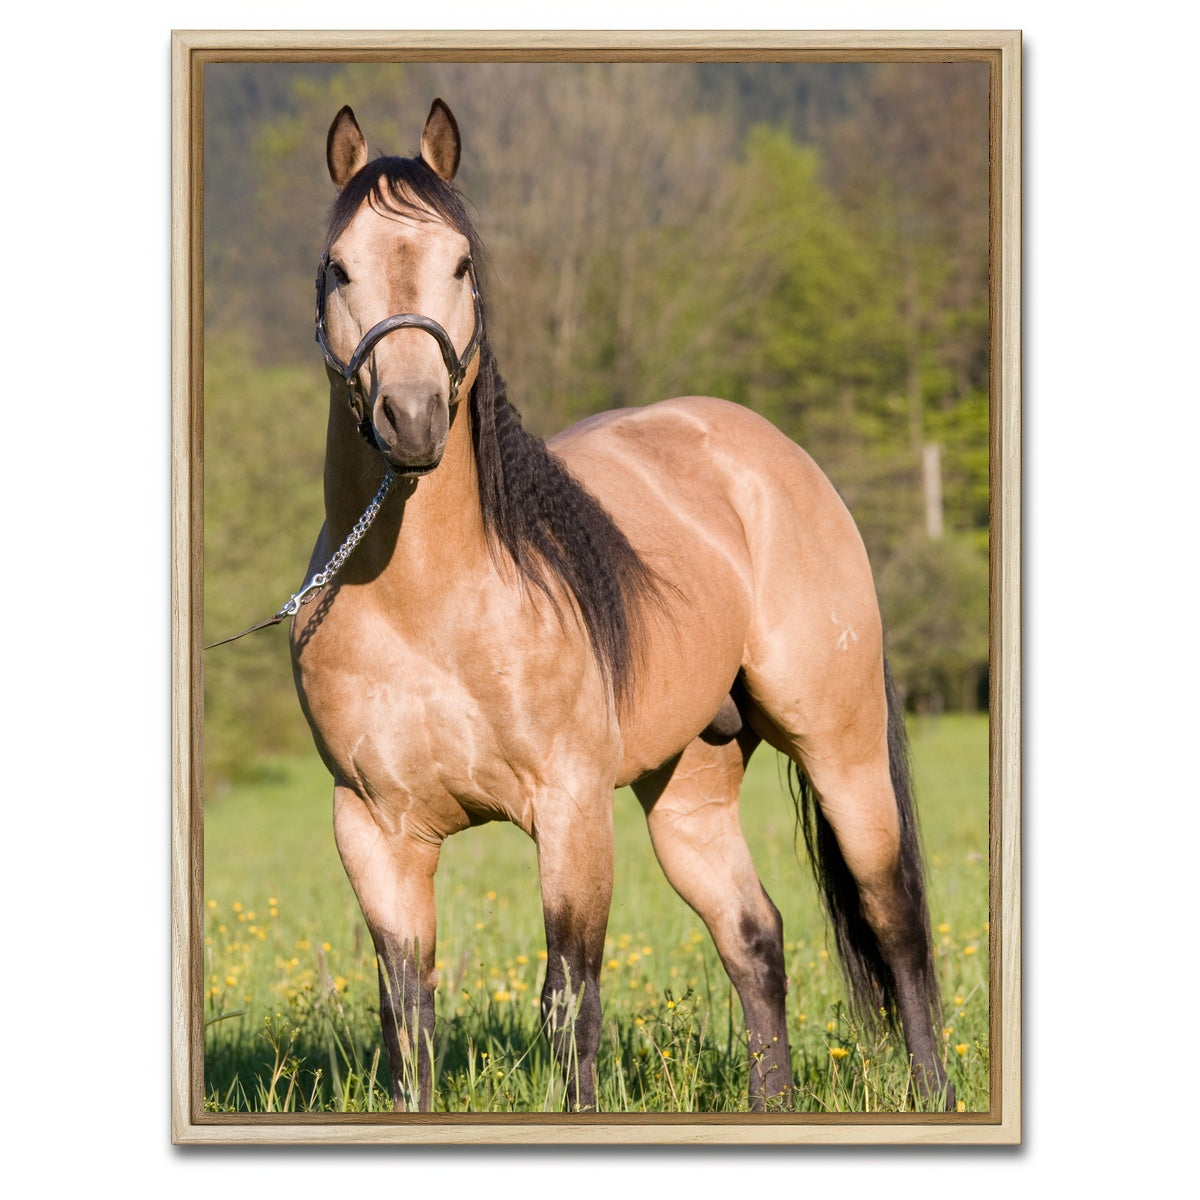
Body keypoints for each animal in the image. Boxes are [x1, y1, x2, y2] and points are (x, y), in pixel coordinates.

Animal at [289, 98, 952, 1113]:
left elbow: (570, 1001)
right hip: (688, 790)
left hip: (841, 750)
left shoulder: (568, 810)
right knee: (754, 937)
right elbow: (408, 1017)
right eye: (339, 265)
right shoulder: (372, 829)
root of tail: (772, 453)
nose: (413, 415)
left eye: (463, 263)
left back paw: (932, 1093)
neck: (426, 605)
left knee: (894, 921)